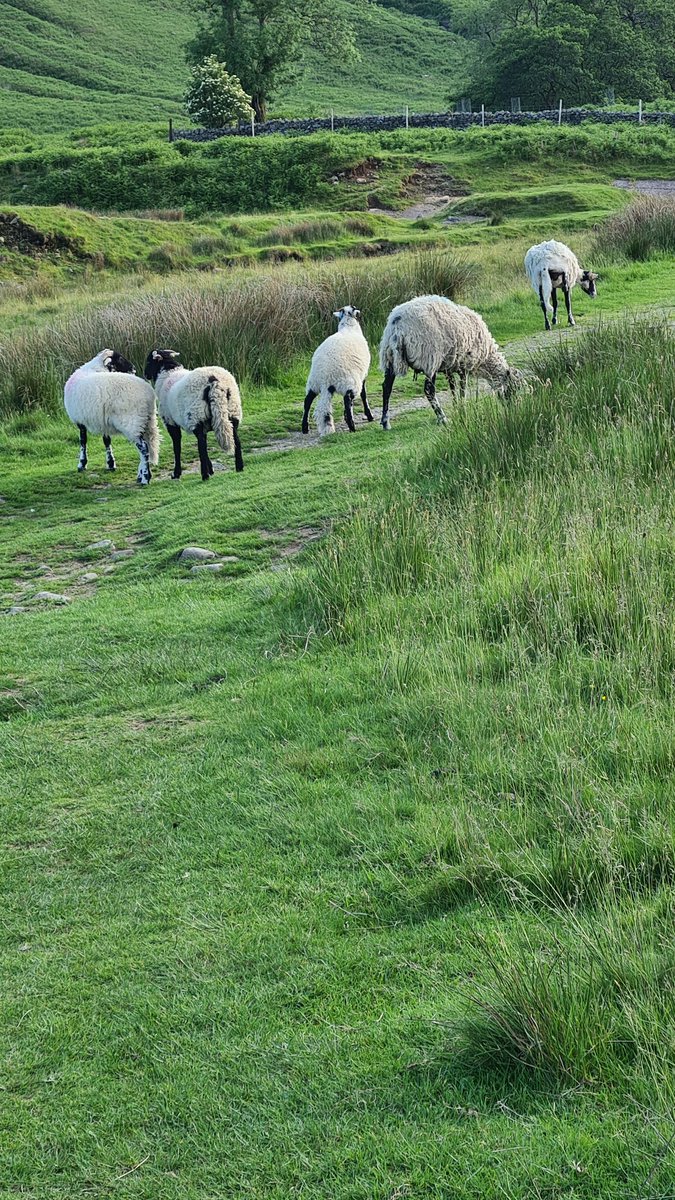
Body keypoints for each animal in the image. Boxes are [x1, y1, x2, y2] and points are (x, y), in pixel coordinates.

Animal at [63, 349, 160, 485]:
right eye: (119, 359)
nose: (134, 369)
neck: (96, 368)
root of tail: (149, 395)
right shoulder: (103, 420)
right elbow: (106, 441)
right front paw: (110, 463)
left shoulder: (80, 421)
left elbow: (83, 441)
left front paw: (81, 464)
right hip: (144, 421)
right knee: (146, 446)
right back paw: (141, 474)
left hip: (132, 424)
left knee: (144, 448)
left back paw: (145, 477)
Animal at [144, 349, 243, 480]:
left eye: (148, 361)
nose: (145, 374)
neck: (167, 373)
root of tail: (214, 381)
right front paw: (211, 469)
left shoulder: (170, 421)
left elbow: (177, 446)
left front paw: (176, 473)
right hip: (232, 411)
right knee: (235, 439)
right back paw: (239, 467)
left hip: (196, 414)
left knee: (201, 445)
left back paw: (205, 475)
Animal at [303, 305, 372, 436]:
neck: (349, 328)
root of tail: (325, 379)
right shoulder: (363, 375)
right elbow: (364, 395)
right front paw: (369, 416)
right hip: (349, 382)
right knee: (347, 400)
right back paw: (352, 426)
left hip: (313, 383)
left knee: (307, 402)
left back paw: (304, 428)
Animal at [379, 295, 526, 430]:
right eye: (513, 388)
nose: (513, 408)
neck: (486, 358)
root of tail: (398, 326)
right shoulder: (465, 364)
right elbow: (462, 389)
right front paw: (462, 409)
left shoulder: (450, 365)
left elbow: (453, 387)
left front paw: (456, 407)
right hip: (430, 358)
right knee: (429, 390)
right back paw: (442, 418)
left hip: (389, 357)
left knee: (386, 387)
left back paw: (386, 422)